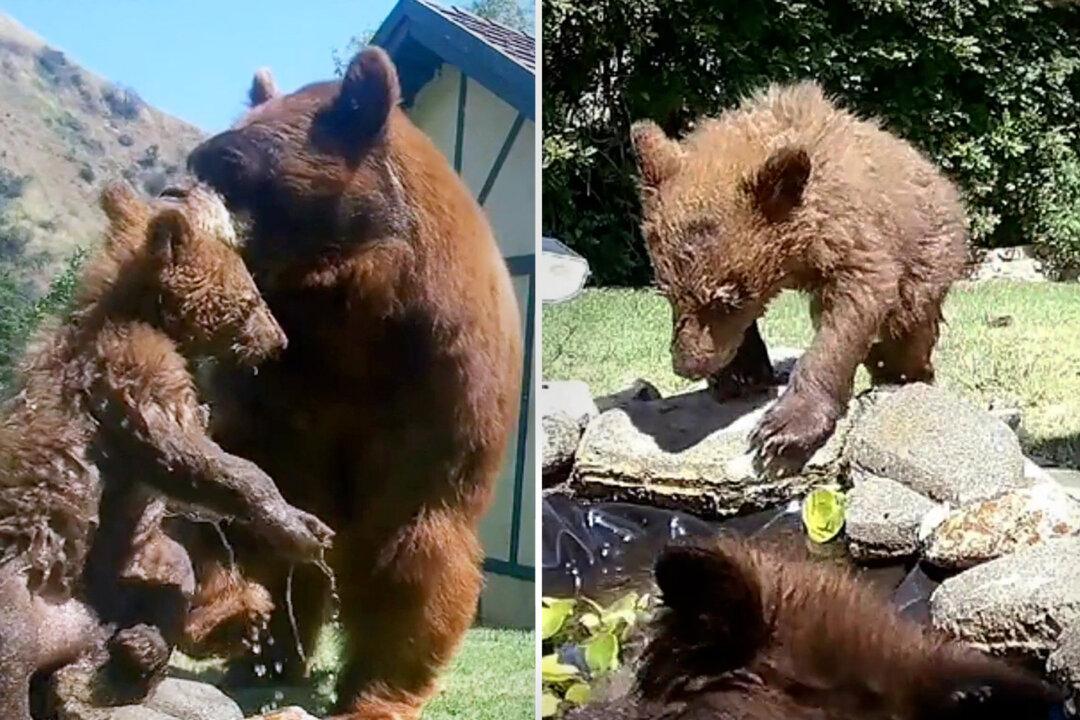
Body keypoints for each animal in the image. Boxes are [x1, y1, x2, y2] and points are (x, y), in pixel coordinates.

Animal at [0, 181, 333, 720]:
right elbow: (187, 453)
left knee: (171, 580)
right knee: (10, 668)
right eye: (252, 300)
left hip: (131, 564)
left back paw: (138, 650)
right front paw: (298, 526)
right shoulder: (133, 366)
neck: (148, 312)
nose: (280, 339)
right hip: (19, 601)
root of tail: (72, 635)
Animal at [186, 47, 523, 719]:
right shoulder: (281, 382)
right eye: (198, 158)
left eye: (232, 162)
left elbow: (414, 542)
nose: (171, 192)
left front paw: (376, 692)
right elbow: (261, 486)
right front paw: (245, 635)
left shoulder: (435, 379)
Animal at [631, 82, 970, 471]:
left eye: (725, 299)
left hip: (928, 259)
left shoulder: (851, 234)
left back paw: (904, 377)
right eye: (667, 291)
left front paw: (784, 430)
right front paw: (742, 373)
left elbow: (850, 311)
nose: (687, 365)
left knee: (906, 333)